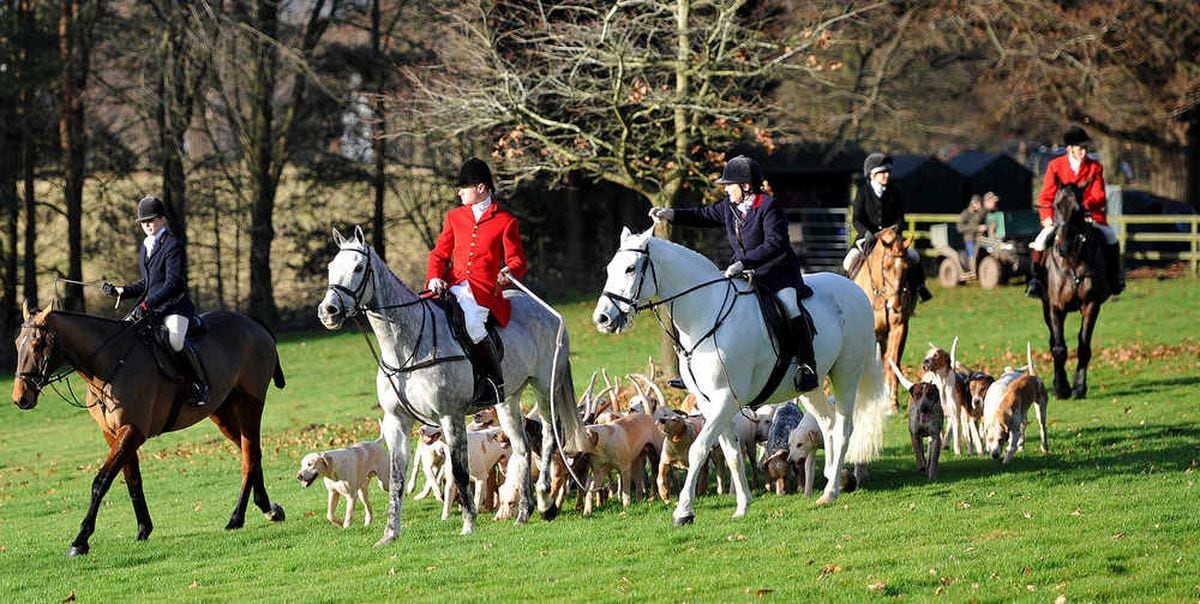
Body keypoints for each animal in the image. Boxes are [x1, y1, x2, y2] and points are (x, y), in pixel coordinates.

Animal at [11, 302, 285, 557]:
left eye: (37, 344)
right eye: (17, 344)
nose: (20, 398)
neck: (109, 365)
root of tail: (251, 323)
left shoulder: (132, 430)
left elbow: (102, 481)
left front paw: (80, 540)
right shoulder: (114, 434)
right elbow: (132, 479)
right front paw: (143, 529)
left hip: (250, 405)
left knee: (249, 457)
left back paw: (236, 518)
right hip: (222, 412)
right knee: (252, 453)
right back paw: (268, 508)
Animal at [314, 225, 585, 542]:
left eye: (358, 267)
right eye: (331, 267)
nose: (328, 311)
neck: (406, 347)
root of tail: (542, 309)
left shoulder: (450, 416)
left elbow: (459, 471)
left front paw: (468, 524)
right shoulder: (396, 422)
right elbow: (396, 478)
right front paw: (390, 533)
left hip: (544, 387)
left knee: (548, 437)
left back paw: (544, 503)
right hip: (508, 399)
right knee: (521, 449)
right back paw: (523, 513)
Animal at [592, 226, 892, 525]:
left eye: (630, 268)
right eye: (609, 268)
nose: (602, 319)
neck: (705, 314)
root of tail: (854, 290)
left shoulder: (725, 400)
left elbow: (699, 449)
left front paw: (684, 511)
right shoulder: (710, 404)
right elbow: (732, 454)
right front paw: (742, 505)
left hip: (846, 373)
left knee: (843, 428)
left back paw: (830, 491)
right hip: (810, 386)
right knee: (827, 423)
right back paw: (832, 478)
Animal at [854, 226, 916, 410]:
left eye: (907, 268)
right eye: (886, 267)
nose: (895, 306)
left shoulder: (899, 328)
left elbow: (892, 361)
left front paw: (892, 402)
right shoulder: (873, 333)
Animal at [1036, 177, 1108, 398]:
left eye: (1079, 209)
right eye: (1055, 206)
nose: (1064, 246)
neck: (1073, 260)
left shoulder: (1091, 305)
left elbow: (1084, 346)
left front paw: (1078, 387)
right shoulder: (1055, 307)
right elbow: (1059, 348)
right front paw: (1061, 388)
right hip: (1046, 307)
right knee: (1053, 342)